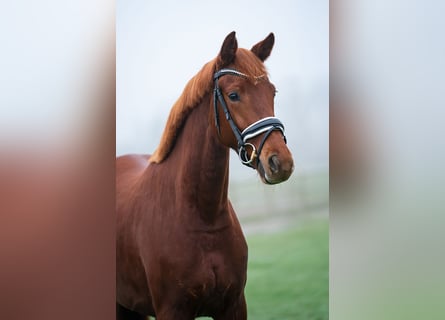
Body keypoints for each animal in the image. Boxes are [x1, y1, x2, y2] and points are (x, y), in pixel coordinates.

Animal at [116, 30, 294, 320]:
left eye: (272, 92)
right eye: (233, 95)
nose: (282, 162)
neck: (202, 217)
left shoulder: (234, 306)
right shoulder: (172, 311)